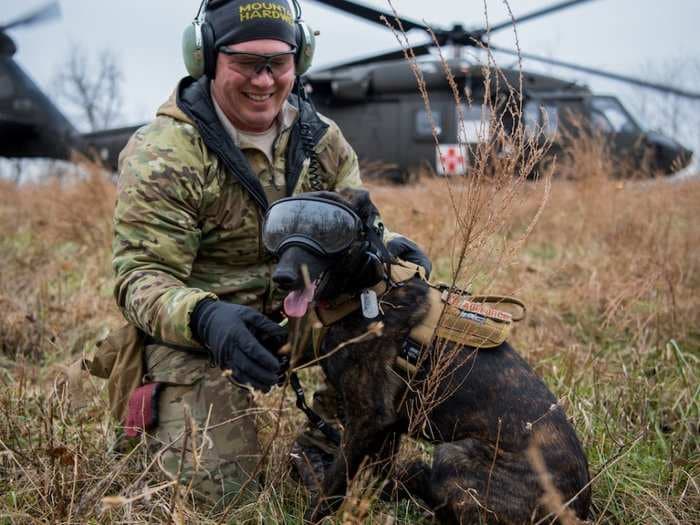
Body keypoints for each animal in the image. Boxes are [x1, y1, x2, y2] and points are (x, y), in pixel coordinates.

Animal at [268, 189, 592, 524]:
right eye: (278, 230)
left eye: (327, 233)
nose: (282, 278)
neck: (366, 292)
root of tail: (577, 509)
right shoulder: (386, 430)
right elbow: (373, 476)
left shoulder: (368, 420)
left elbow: (334, 483)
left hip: (452, 455)